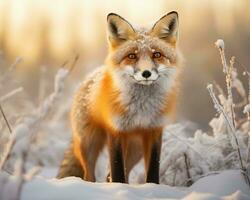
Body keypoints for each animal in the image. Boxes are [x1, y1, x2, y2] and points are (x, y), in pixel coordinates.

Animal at [57, 10, 183, 183]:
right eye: (132, 56)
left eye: (157, 54)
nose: (146, 73)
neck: (141, 108)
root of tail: (89, 77)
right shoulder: (116, 131)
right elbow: (117, 170)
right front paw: (119, 186)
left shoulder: (154, 131)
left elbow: (152, 170)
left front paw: (152, 186)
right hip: (89, 143)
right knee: (89, 175)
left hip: (135, 149)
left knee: (114, 174)